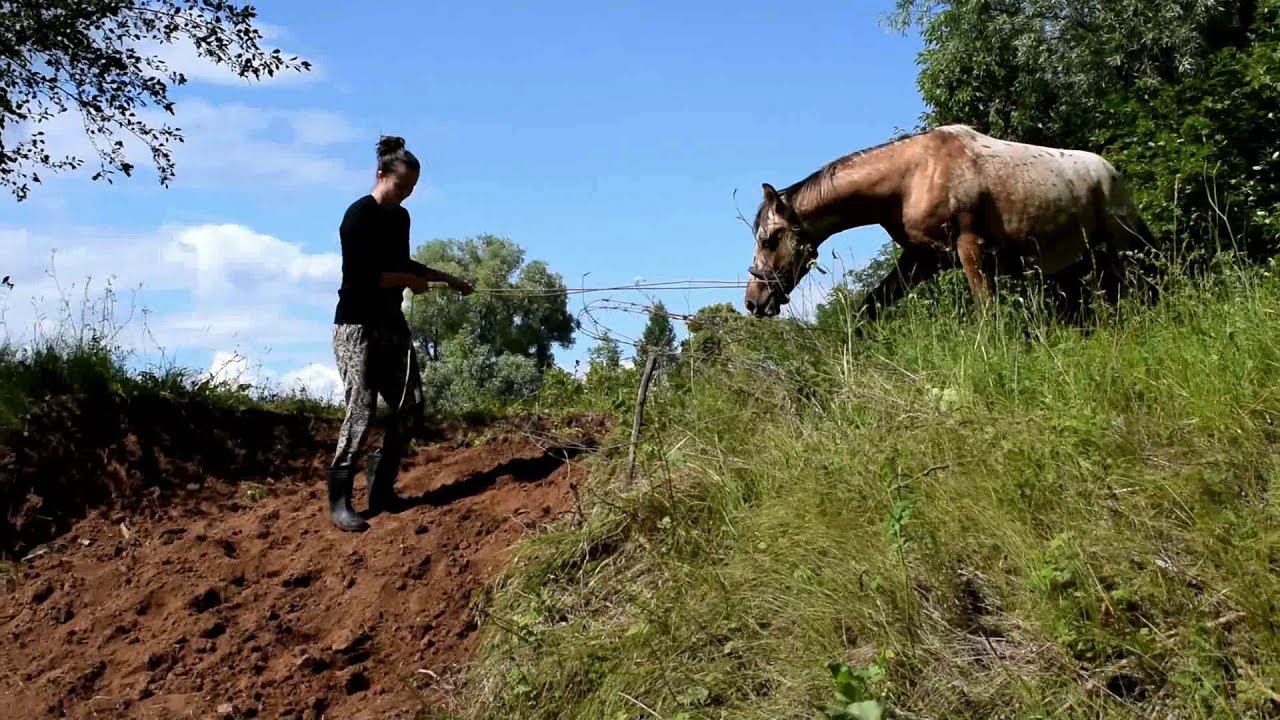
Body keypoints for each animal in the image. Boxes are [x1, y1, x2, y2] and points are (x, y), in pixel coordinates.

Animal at [744, 124, 1155, 319]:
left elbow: (986, 310)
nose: (753, 301)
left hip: (1117, 249)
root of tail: (1113, 174)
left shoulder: (970, 249)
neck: (910, 177)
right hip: (1086, 258)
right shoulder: (923, 259)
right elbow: (869, 309)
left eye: (768, 240)